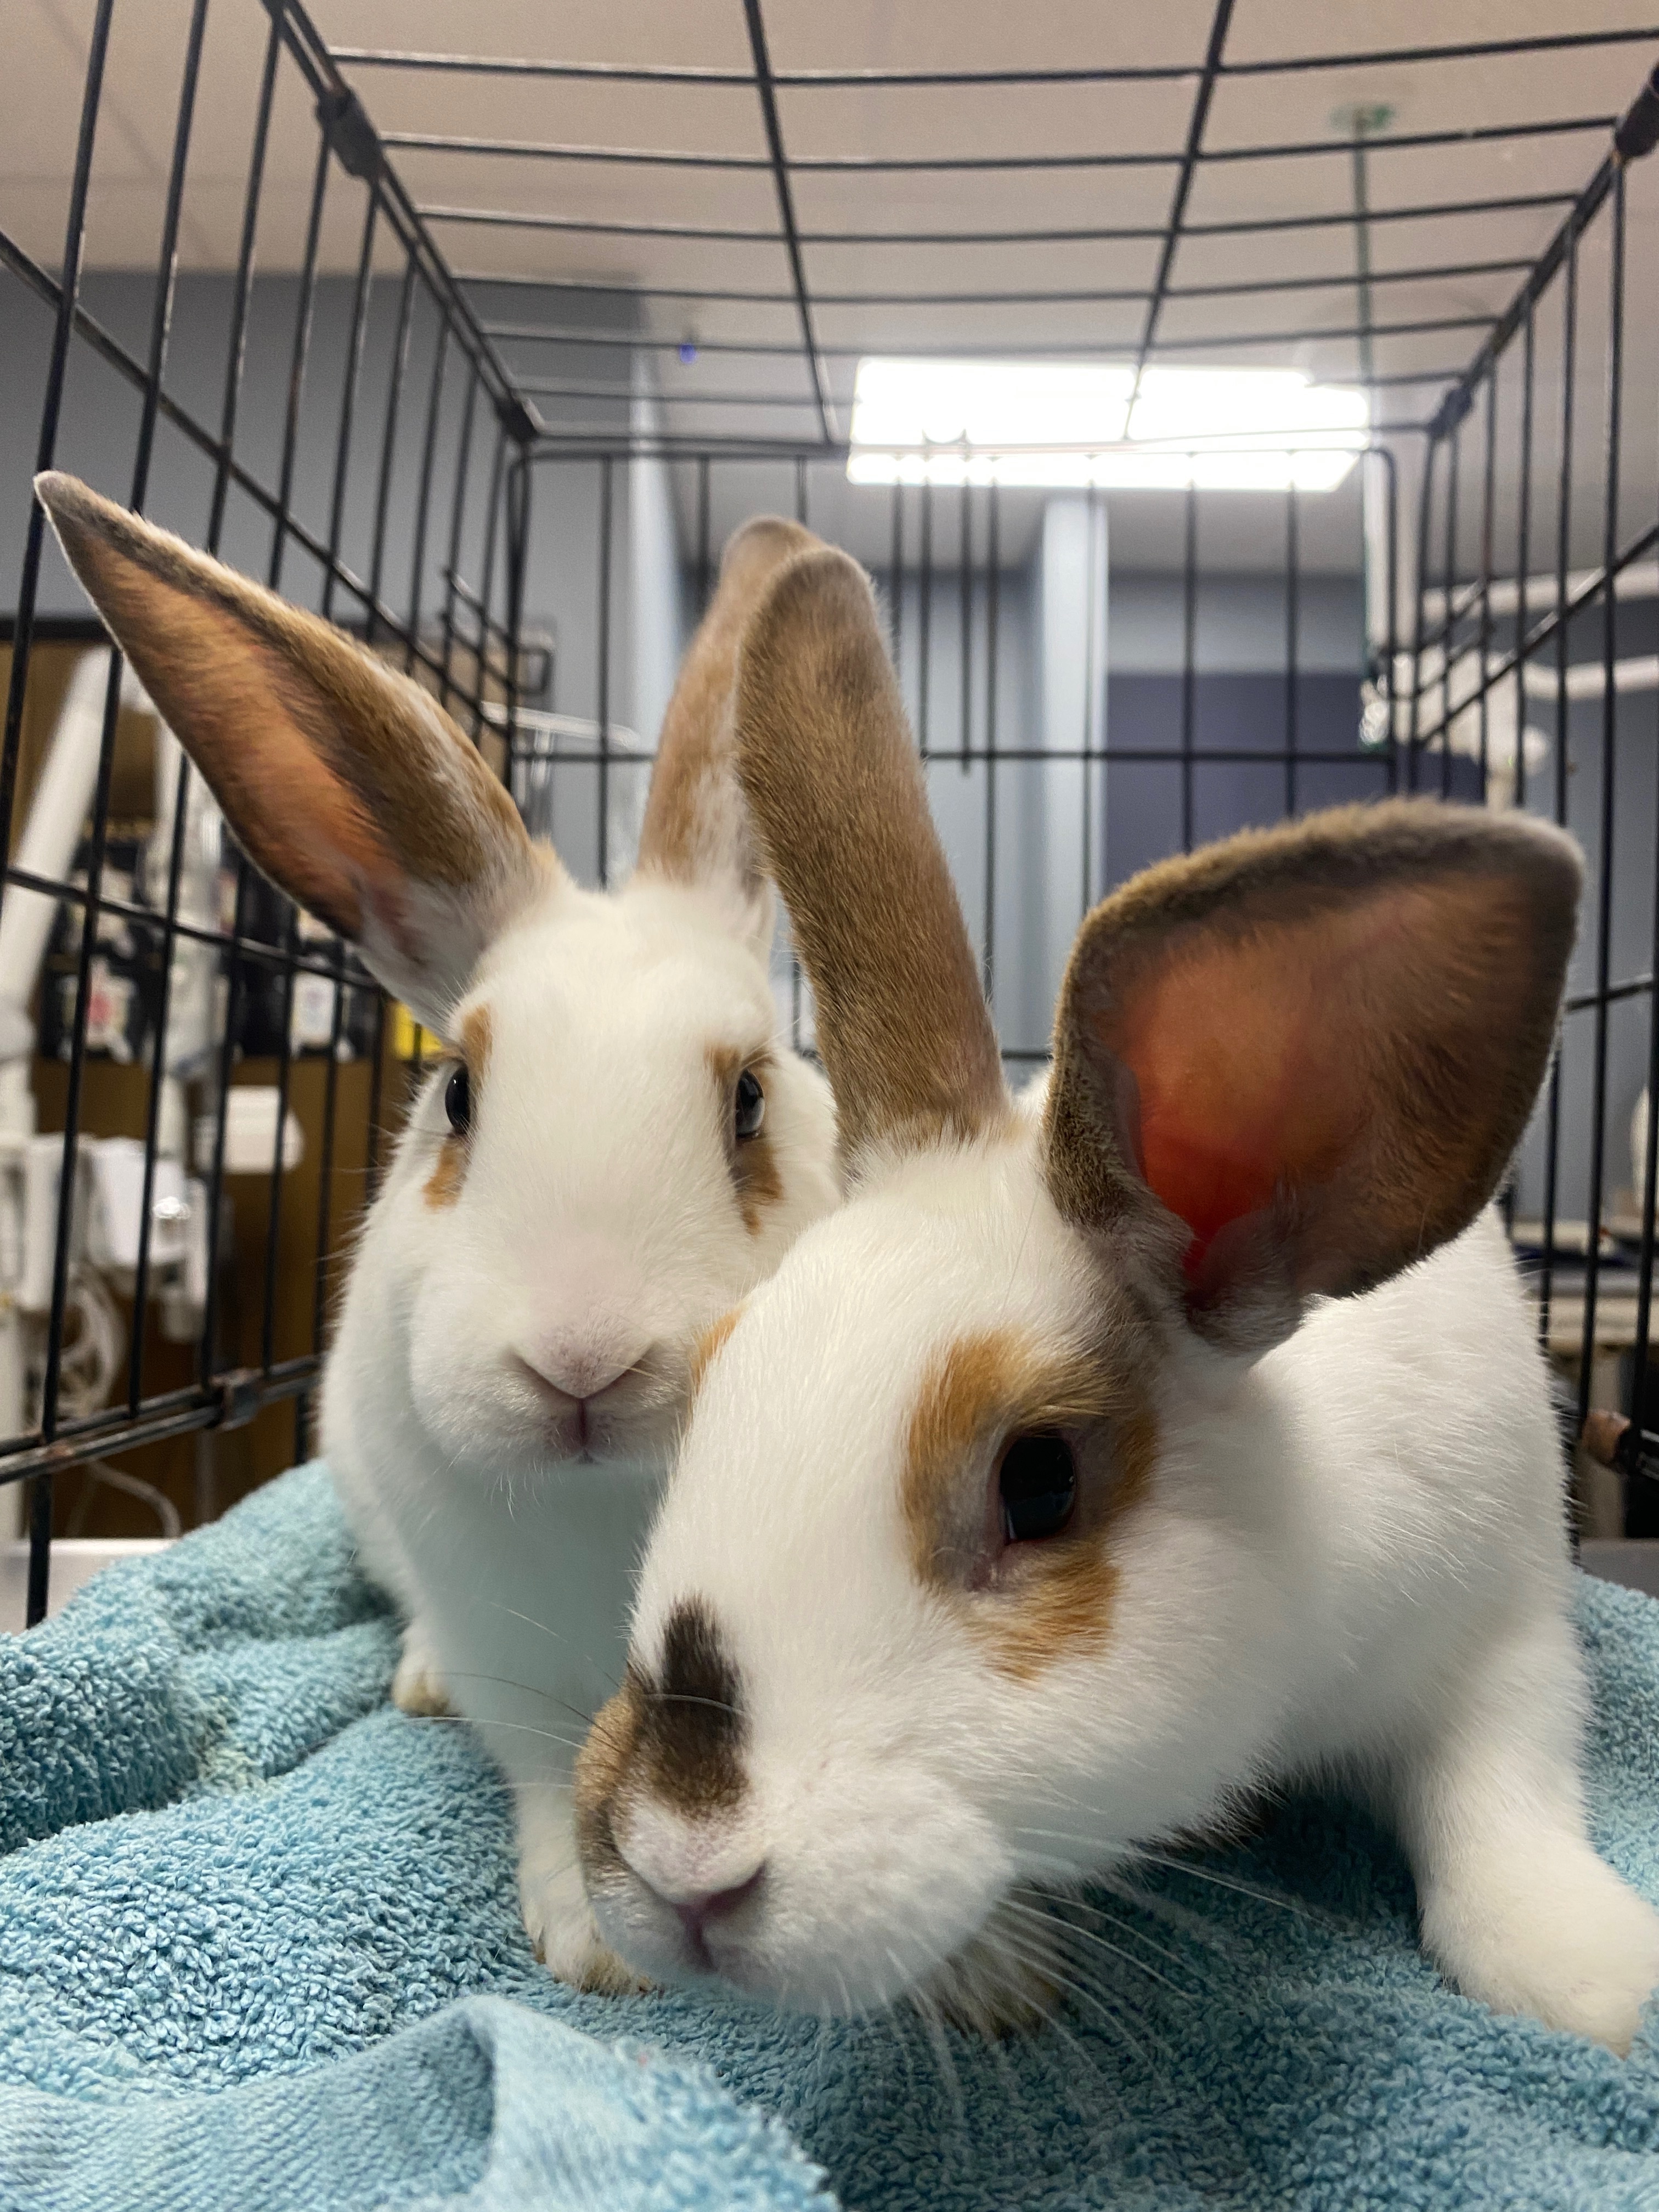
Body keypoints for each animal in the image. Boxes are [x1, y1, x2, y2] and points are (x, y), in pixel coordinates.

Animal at [36, 473, 841, 1990]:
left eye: (752, 1099)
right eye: (458, 1093)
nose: (582, 1363)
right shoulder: (502, 1650)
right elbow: (542, 1769)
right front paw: (593, 1946)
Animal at [573, 543, 1659, 2055]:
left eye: (1039, 1483)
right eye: (715, 1387)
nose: (679, 1863)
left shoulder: (1502, 1614)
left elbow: (1503, 1780)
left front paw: (1591, 1973)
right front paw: (990, 1971)